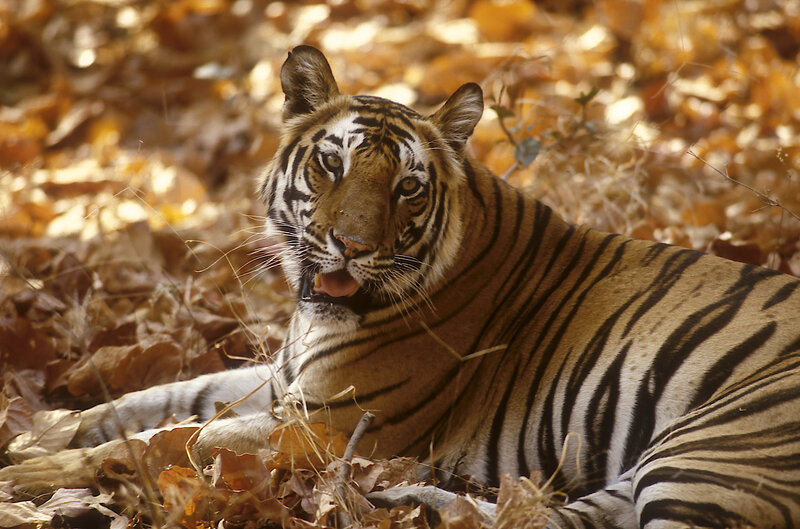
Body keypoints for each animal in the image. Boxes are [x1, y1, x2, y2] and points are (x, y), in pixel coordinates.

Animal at [2, 45, 800, 529]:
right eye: (331, 163)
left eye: (408, 187)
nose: (352, 248)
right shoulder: (282, 382)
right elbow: (146, 403)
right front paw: (42, 431)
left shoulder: (326, 422)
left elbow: (167, 441)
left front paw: (34, 469)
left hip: (703, 450)